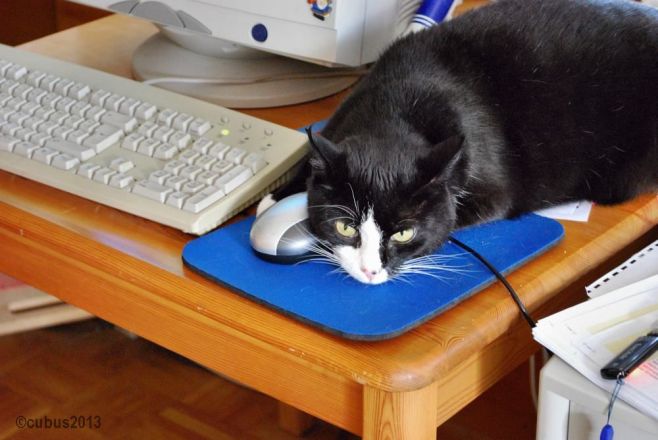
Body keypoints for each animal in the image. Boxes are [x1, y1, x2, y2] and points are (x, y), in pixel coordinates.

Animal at [258, 0, 658, 285]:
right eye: (345, 227)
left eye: (404, 233)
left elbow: (451, 216)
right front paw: (275, 197)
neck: (394, 109)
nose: (371, 271)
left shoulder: (492, 190)